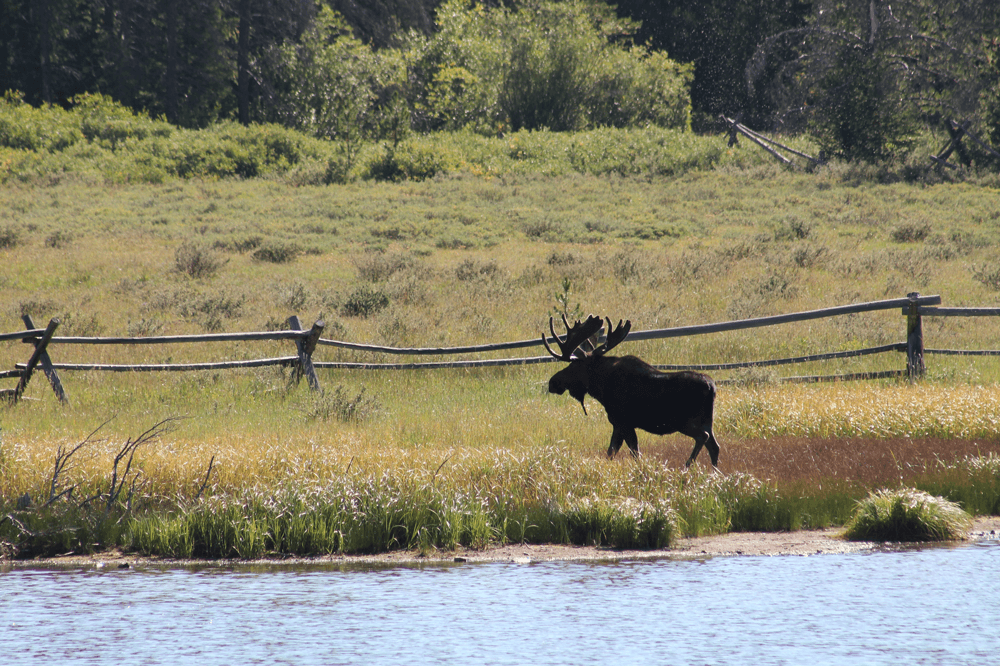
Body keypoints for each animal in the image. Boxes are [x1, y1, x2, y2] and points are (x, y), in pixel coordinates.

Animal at [543, 315, 721, 468]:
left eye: (574, 365)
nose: (553, 382)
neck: (601, 388)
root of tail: (711, 386)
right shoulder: (617, 425)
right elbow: (611, 452)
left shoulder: (624, 422)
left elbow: (634, 453)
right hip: (707, 421)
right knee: (714, 446)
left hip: (684, 421)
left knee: (703, 437)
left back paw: (687, 466)